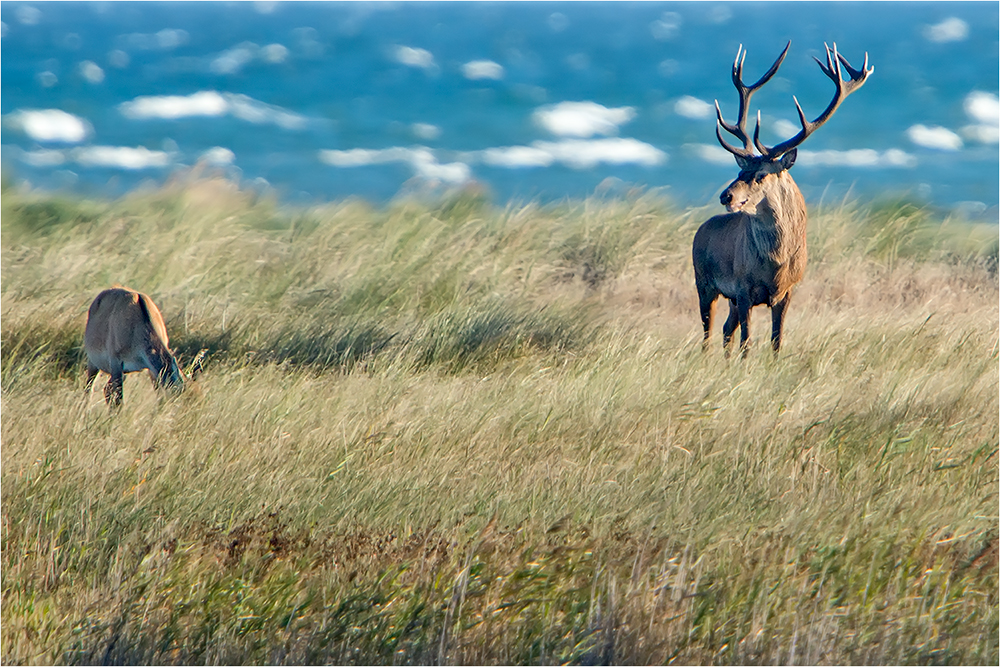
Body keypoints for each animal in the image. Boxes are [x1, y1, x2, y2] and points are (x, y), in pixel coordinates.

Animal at [692, 43, 872, 358]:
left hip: (727, 297)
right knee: (708, 333)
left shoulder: (787, 292)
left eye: (761, 175)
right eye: (740, 170)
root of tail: (700, 230)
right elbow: (747, 343)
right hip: (704, 282)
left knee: (726, 329)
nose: (726, 195)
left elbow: (777, 341)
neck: (775, 265)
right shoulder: (743, 289)